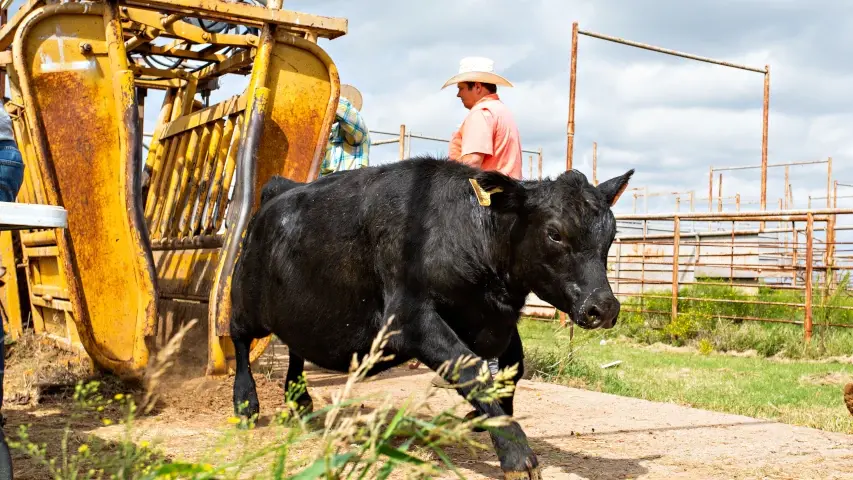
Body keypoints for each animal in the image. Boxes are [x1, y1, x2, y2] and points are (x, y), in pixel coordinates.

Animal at [230, 156, 628, 478]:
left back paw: (298, 400)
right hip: (244, 300)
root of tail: (279, 188)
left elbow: (512, 368)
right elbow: (472, 370)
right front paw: (517, 455)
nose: (604, 307)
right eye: (554, 233)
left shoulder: (494, 322)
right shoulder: (410, 320)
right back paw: (246, 403)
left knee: (295, 347)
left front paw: (484, 417)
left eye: (610, 236)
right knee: (238, 339)